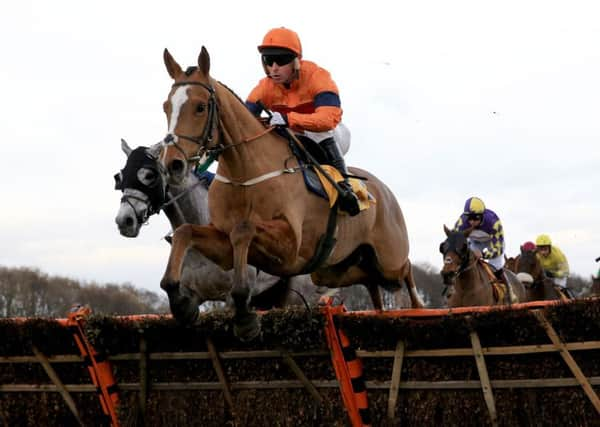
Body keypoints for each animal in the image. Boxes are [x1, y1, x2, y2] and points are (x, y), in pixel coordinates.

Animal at [157, 47, 424, 342]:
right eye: (166, 106)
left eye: (200, 107)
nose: (172, 165)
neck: (245, 173)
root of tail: (385, 192)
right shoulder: (223, 245)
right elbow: (186, 232)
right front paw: (181, 304)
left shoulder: (290, 246)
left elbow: (244, 229)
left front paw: (245, 317)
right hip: (334, 270)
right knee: (369, 280)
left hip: (389, 259)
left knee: (406, 270)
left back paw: (418, 307)